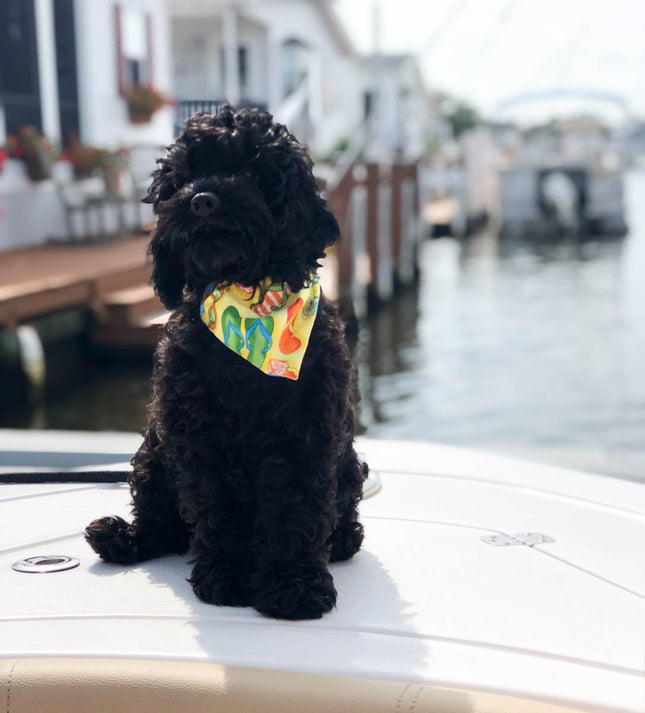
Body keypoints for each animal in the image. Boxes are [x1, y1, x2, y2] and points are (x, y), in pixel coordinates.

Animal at [85, 104, 368, 616]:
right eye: (182, 179)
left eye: (252, 172)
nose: (201, 201)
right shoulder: (198, 434)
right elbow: (218, 509)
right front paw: (230, 579)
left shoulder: (306, 432)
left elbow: (295, 508)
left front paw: (293, 586)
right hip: (152, 454)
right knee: (161, 522)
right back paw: (122, 539)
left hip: (349, 464)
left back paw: (341, 540)